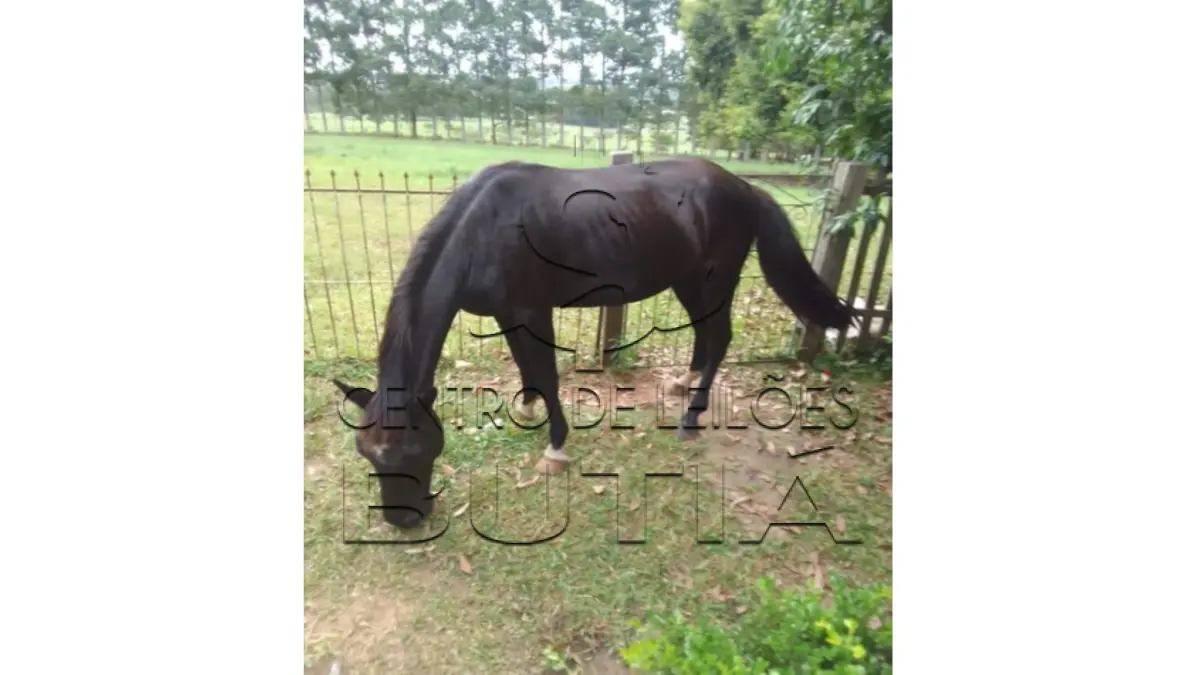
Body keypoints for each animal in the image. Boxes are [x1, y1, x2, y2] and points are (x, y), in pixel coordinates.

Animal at [332, 157, 855, 529]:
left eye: (415, 451)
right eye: (367, 454)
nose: (403, 521)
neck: (484, 229)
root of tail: (746, 187)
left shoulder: (532, 310)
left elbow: (546, 373)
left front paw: (555, 449)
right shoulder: (509, 313)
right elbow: (526, 367)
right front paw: (526, 410)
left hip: (714, 280)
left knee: (720, 338)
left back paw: (691, 419)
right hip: (687, 281)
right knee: (706, 336)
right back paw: (681, 387)